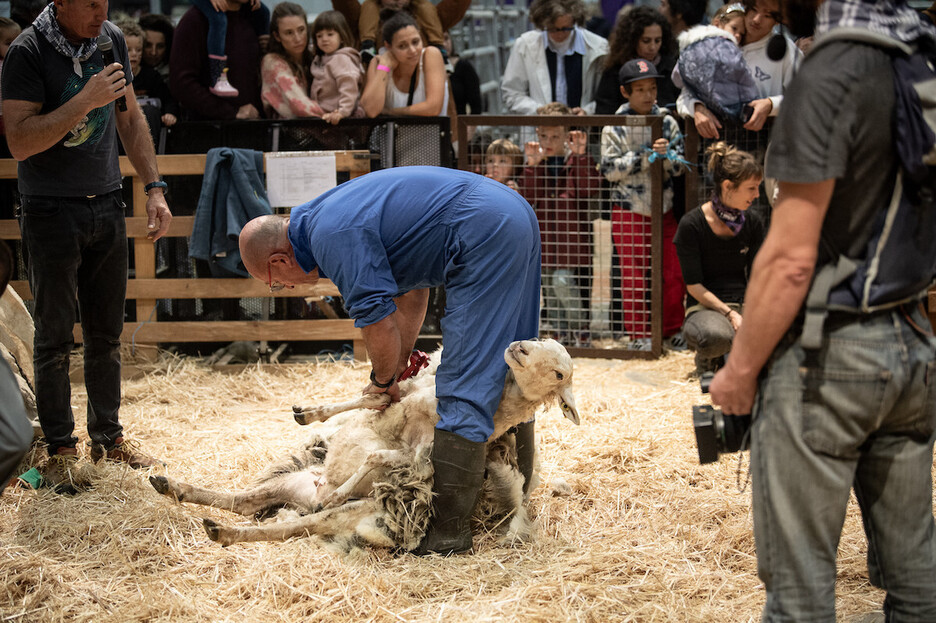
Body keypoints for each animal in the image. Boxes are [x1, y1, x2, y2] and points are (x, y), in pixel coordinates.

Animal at [148, 342, 576, 552]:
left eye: (559, 373)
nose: (518, 347)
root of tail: (308, 491)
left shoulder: (420, 456)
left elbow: (377, 454)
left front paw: (341, 489)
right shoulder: (408, 396)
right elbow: (371, 399)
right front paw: (309, 412)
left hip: (354, 510)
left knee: (298, 524)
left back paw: (223, 531)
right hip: (290, 482)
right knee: (244, 502)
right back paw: (172, 487)